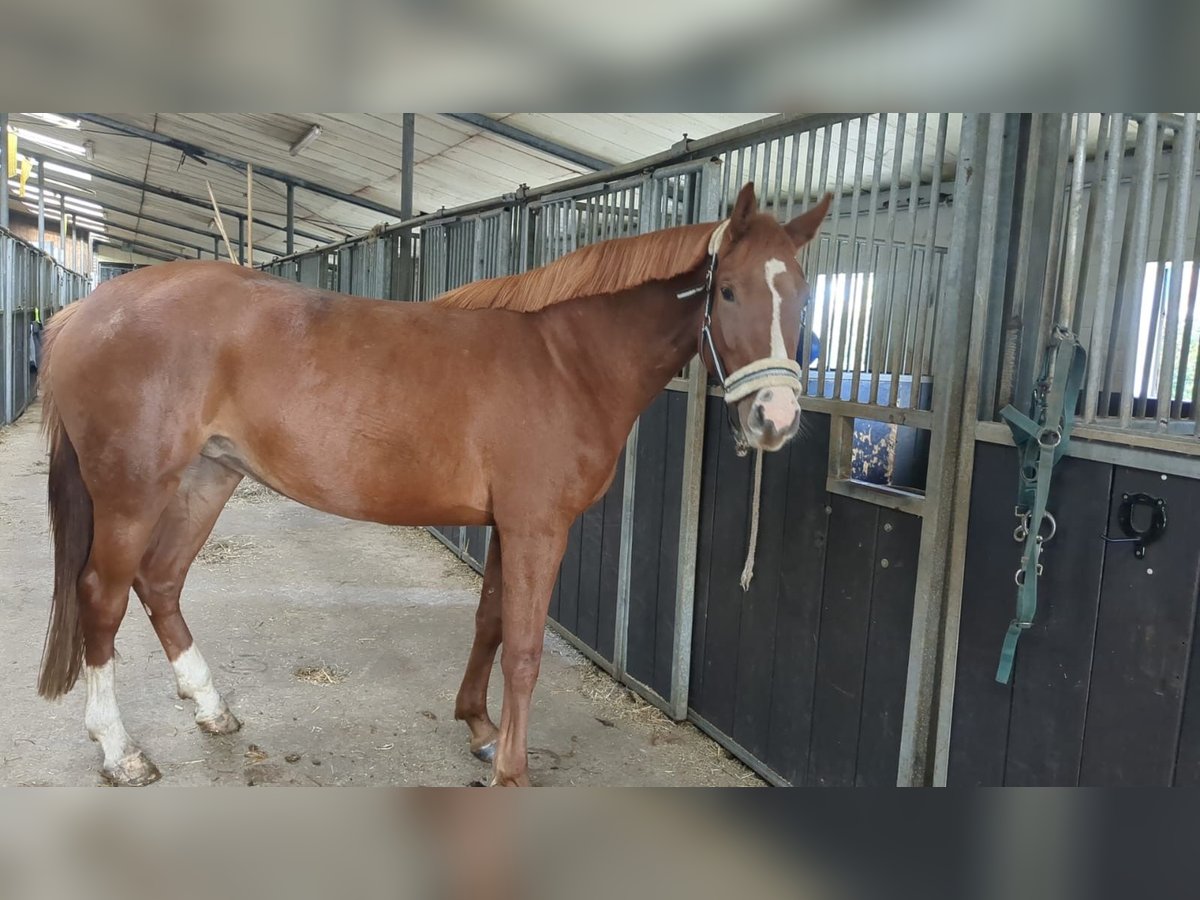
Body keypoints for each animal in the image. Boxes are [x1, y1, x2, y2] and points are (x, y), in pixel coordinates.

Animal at [35, 181, 825, 782]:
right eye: (727, 292)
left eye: (804, 292)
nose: (776, 418)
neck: (567, 361)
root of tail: (81, 312)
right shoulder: (539, 527)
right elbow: (526, 650)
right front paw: (511, 770)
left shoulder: (509, 525)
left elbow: (491, 622)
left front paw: (480, 727)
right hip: (133, 493)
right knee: (103, 598)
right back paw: (120, 751)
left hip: (208, 477)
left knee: (161, 582)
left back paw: (211, 709)